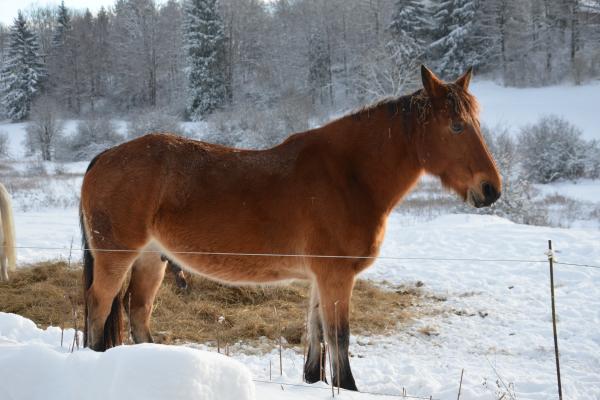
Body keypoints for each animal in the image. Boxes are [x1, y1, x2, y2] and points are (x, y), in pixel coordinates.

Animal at [79, 66, 502, 390]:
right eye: (457, 126)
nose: (491, 189)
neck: (349, 176)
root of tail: (104, 156)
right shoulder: (336, 276)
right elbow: (339, 339)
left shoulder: (321, 277)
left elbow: (316, 337)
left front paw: (313, 382)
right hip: (117, 257)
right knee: (100, 305)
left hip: (152, 259)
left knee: (137, 312)